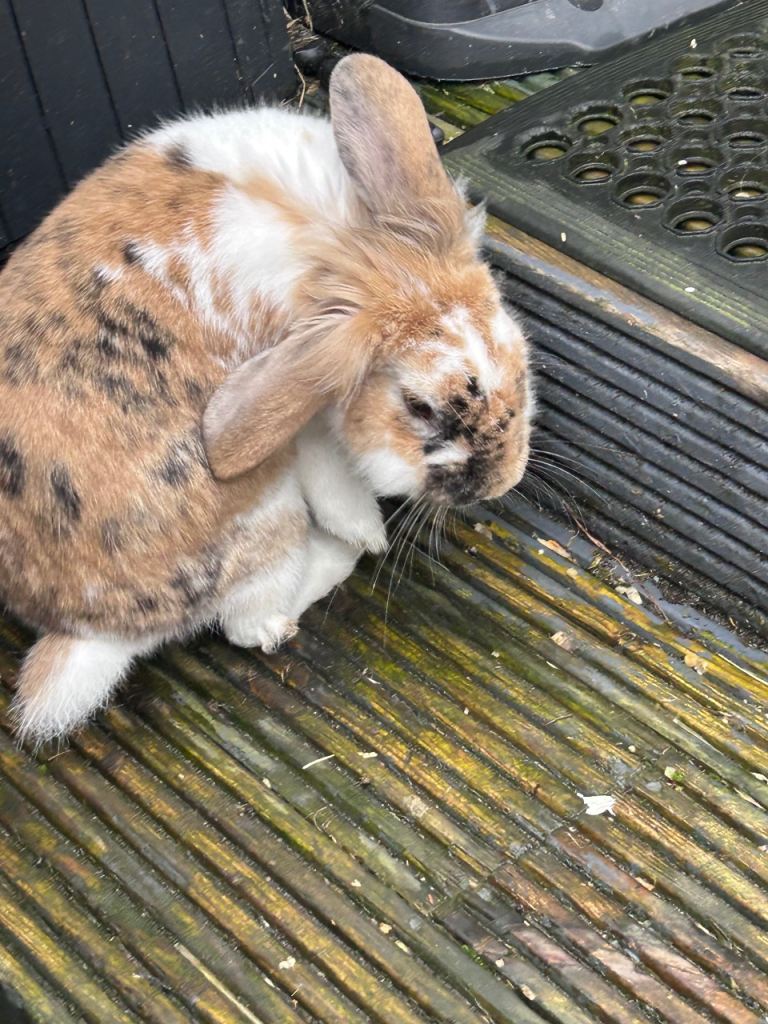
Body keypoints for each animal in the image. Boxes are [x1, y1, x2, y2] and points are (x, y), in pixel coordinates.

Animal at [0, 54, 532, 745]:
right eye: (418, 408)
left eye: (517, 354)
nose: (501, 484)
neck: (345, 250)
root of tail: (88, 629)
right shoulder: (306, 423)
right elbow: (335, 480)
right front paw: (367, 533)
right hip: (269, 512)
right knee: (252, 624)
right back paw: (337, 557)